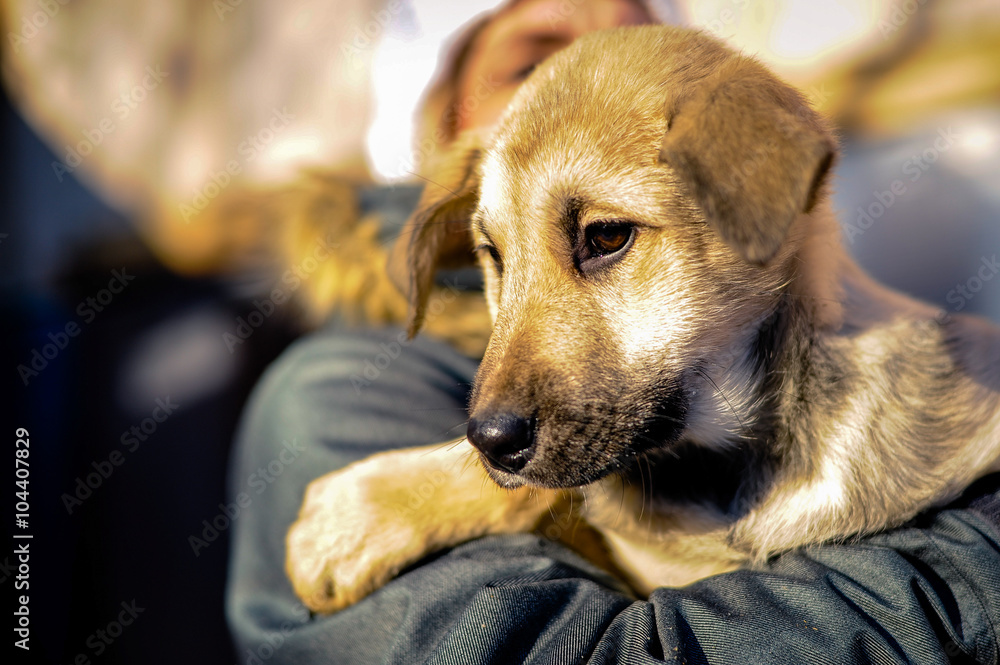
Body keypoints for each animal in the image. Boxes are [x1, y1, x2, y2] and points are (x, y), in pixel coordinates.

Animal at [284, 26, 1000, 612]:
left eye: (605, 237)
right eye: (493, 256)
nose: (489, 439)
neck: (726, 467)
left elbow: (563, 487)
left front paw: (360, 513)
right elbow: (570, 489)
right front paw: (367, 515)